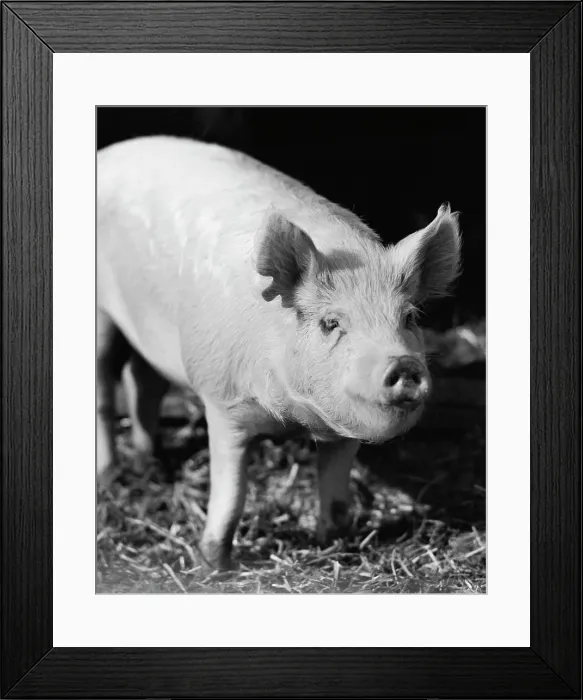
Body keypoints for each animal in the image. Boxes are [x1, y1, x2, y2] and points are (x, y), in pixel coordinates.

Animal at [97, 136, 461, 571]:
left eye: (408, 318)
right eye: (330, 323)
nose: (403, 363)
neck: (291, 417)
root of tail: (107, 154)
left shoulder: (343, 433)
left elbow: (336, 495)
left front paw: (334, 545)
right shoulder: (221, 400)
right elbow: (232, 494)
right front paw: (215, 564)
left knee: (142, 381)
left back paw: (150, 466)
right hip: (101, 316)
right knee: (105, 389)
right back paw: (110, 475)